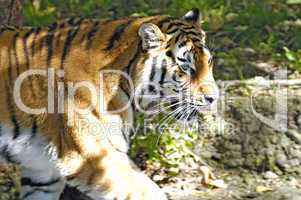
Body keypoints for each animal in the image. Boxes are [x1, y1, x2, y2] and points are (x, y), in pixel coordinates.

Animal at [0, 8, 217, 200]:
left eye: (209, 61)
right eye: (186, 67)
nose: (214, 98)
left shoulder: (42, 170)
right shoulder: (95, 156)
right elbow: (148, 192)